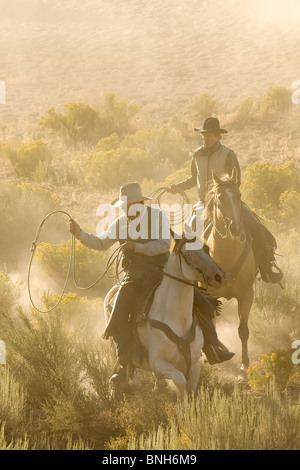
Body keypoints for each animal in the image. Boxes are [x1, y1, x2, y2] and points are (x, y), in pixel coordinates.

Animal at [104, 234, 224, 396]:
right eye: (189, 254)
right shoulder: (158, 363)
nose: (219, 276)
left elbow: (191, 388)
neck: (177, 319)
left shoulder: (194, 366)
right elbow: (180, 380)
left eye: (206, 249)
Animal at [200, 170, 256, 370]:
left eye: (238, 196)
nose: (236, 227)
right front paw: (212, 354)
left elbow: (243, 329)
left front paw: (245, 362)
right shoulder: (208, 295)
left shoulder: (247, 294)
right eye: (220, 198)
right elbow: (210, 324)